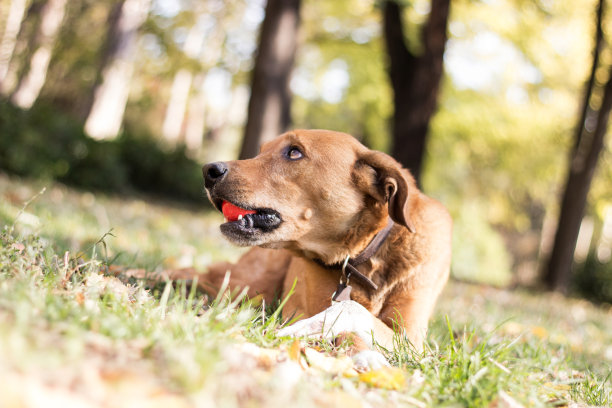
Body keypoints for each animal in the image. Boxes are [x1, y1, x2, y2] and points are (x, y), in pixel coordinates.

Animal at [175, 129, 452, 368]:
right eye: (261, 151)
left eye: (294, 152)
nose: (208, 170)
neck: (365, 259)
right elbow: (348, 316)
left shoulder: (411, 338)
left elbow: (348, 309)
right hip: (247, 284)